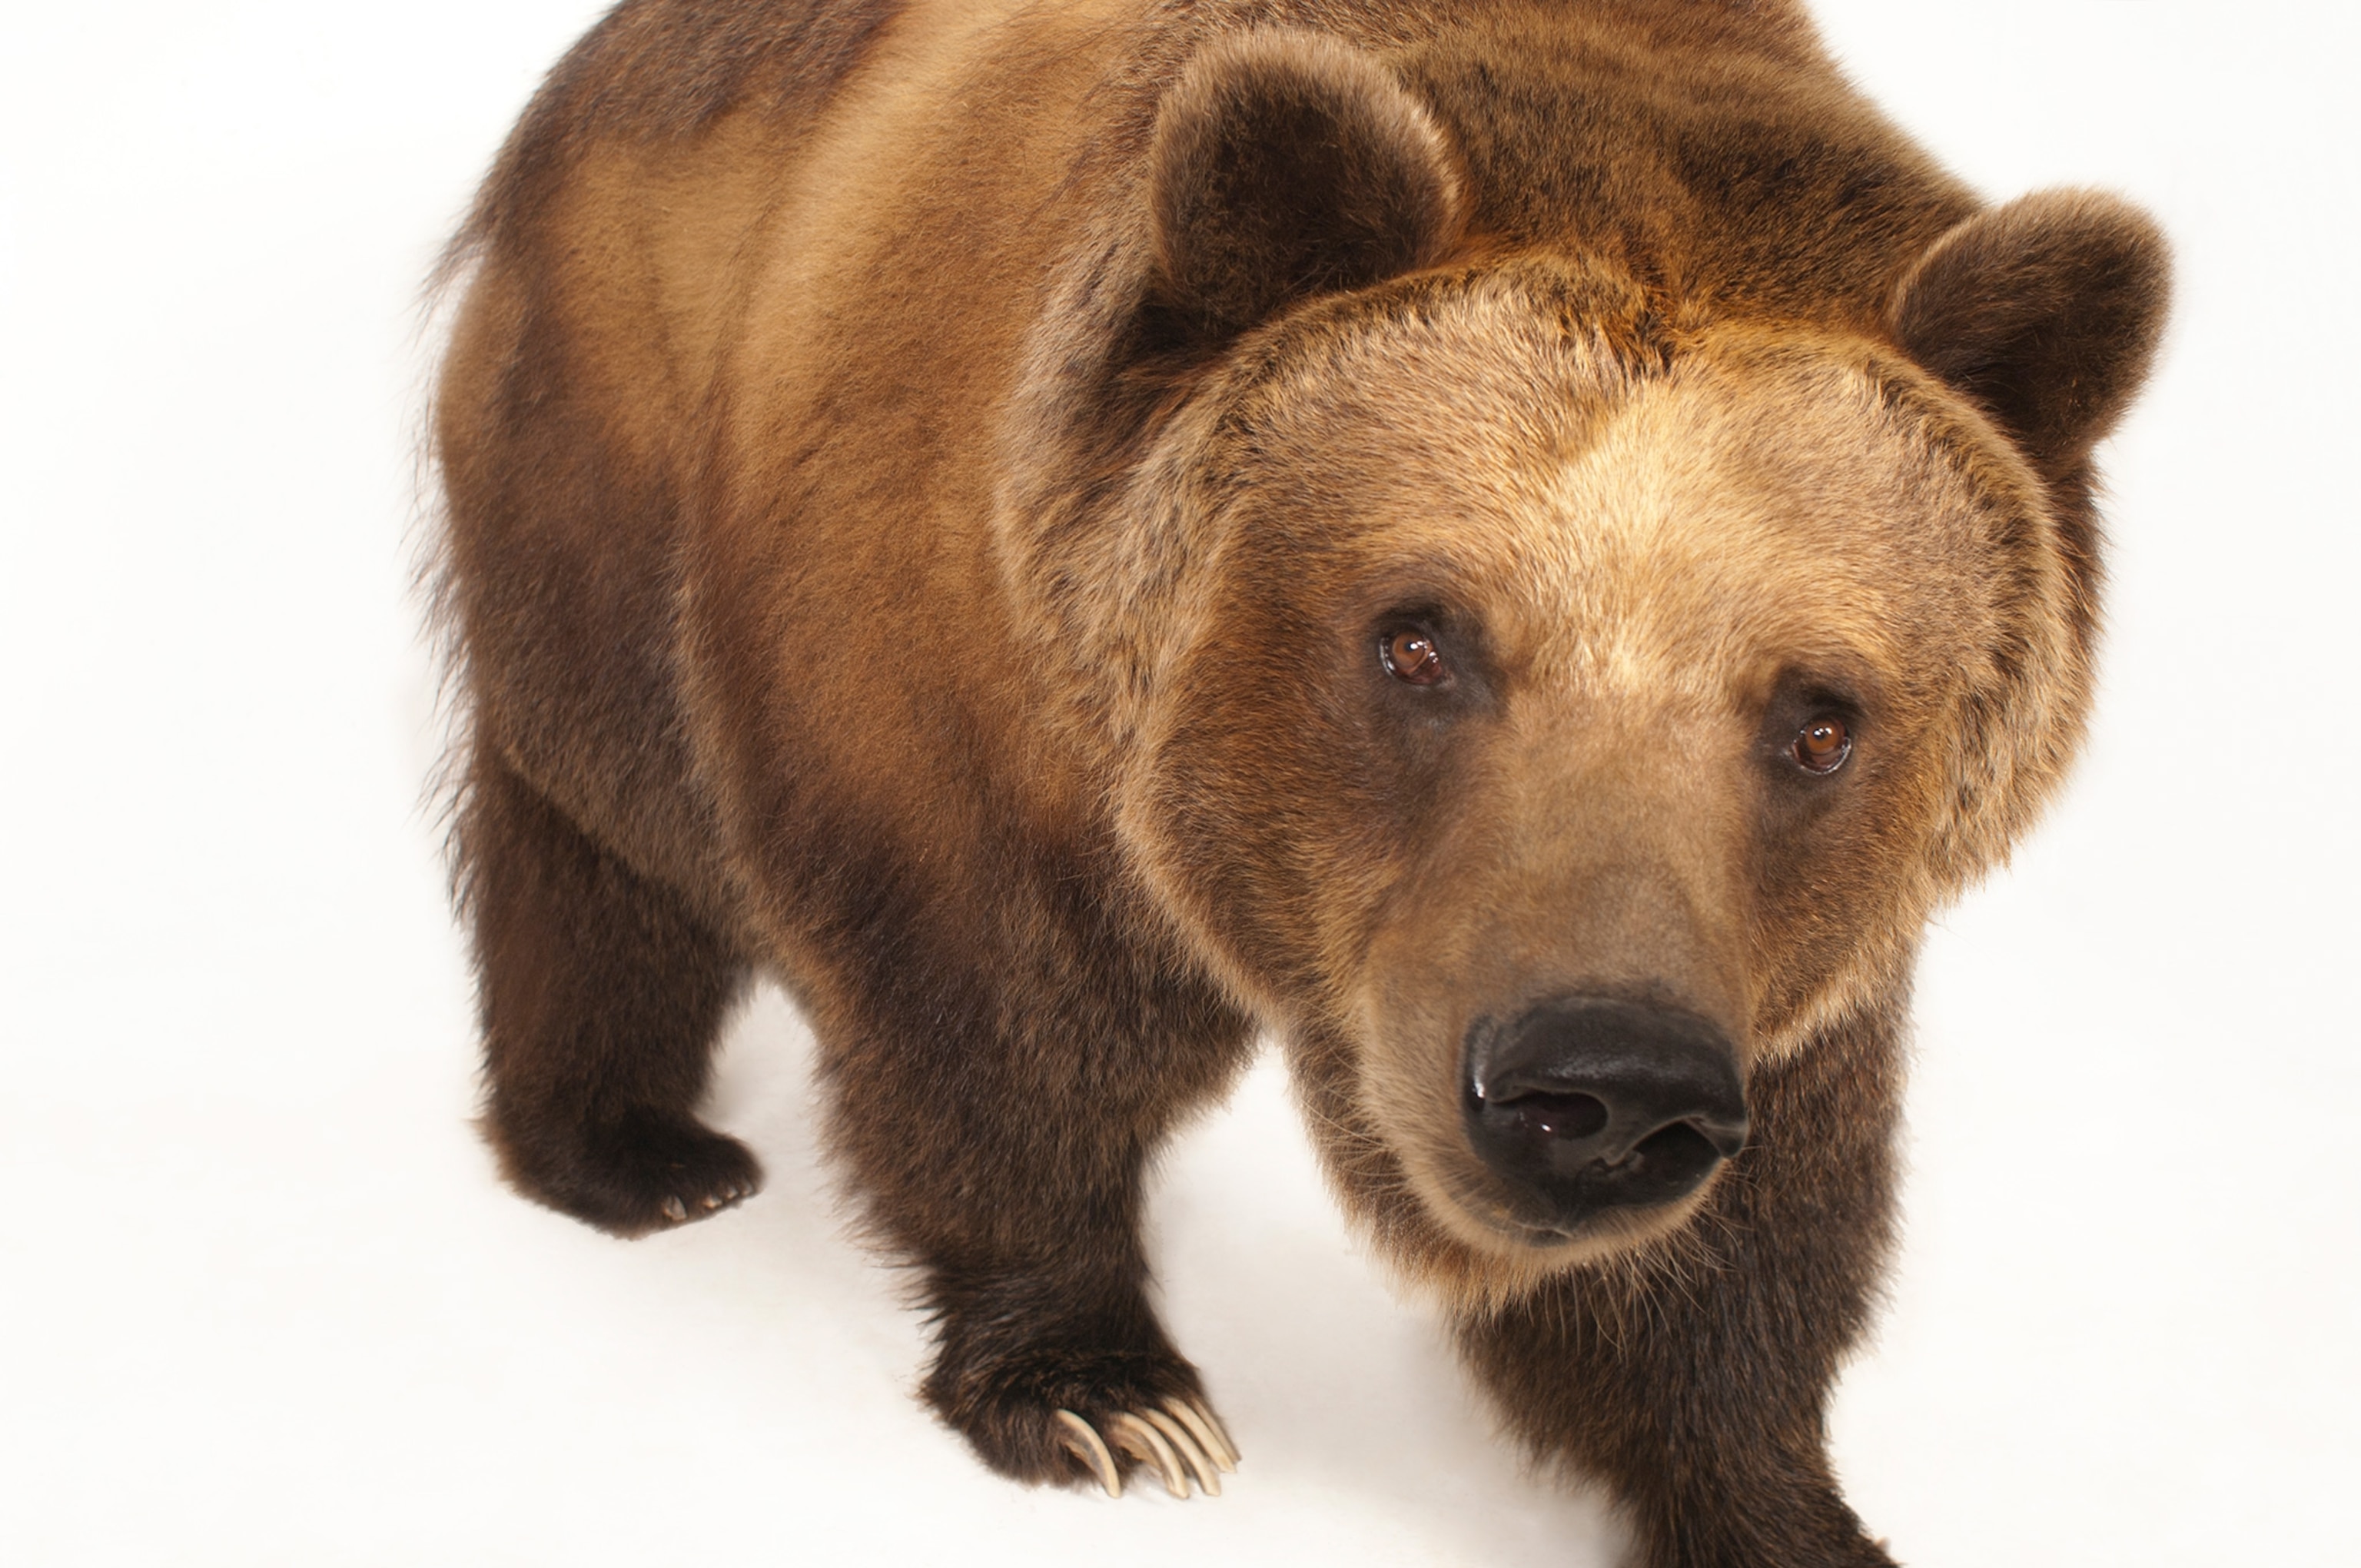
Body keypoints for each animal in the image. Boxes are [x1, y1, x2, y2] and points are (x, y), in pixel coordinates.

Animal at [428, 2, 2168, 1562]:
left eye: (1819, 717)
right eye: (1418, 640)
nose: (1597, 1087)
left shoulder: (1770, 966)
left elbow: (1743, 1237)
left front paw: (1778, 1504)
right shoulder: (961, 691)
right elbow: (993, 1028)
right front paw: (1104, 1395)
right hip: (599, 462)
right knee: (600, 839)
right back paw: (637, 1154)